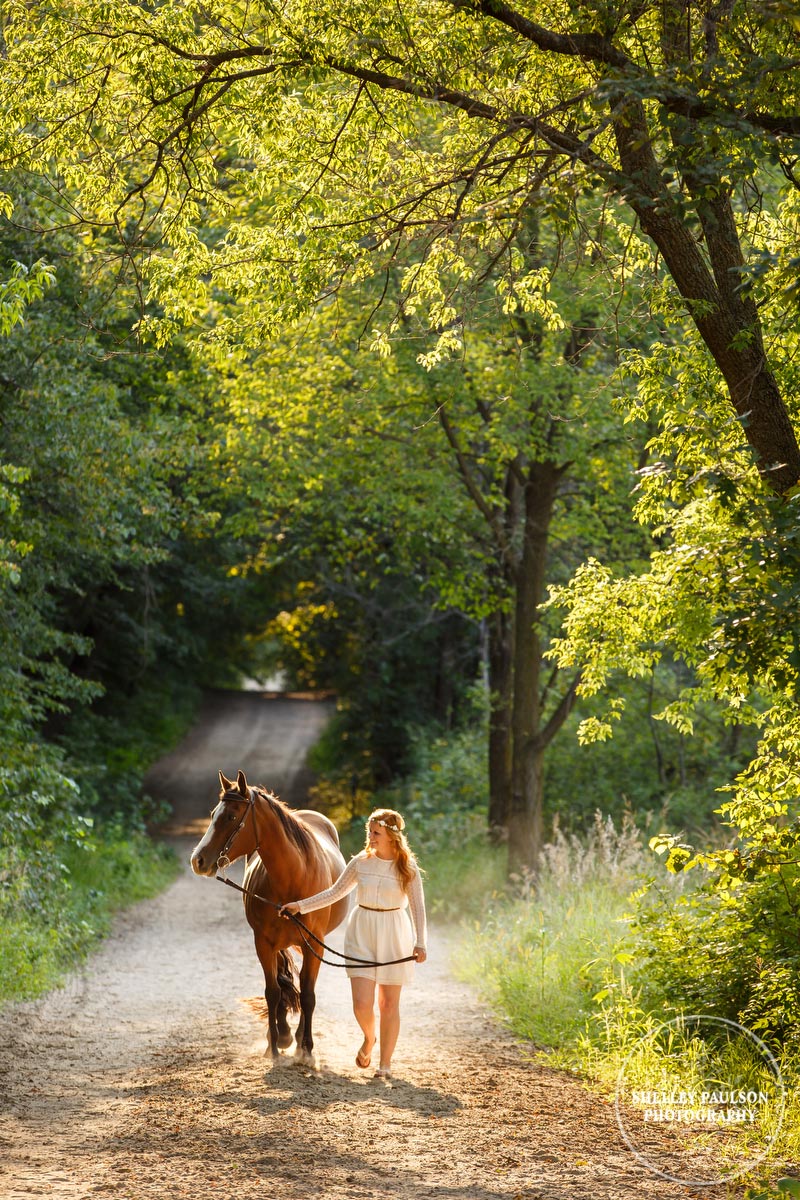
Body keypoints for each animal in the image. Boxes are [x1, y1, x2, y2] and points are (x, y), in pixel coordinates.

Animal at [191, 768, 350, 1060]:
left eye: (231, 817)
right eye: (213, 814)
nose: (198, 860)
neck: (293, 876)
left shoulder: (314, 944)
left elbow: (308, 994)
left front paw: (307, 1049)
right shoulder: (263, 943)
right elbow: (273, 992)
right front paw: (274, 1045)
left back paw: (298, 1039)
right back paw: (285, 1034)